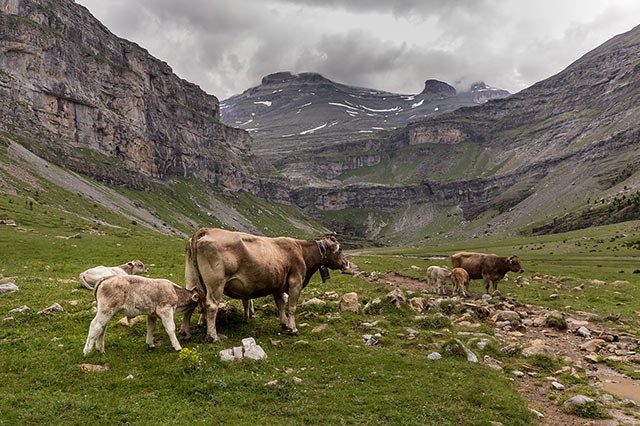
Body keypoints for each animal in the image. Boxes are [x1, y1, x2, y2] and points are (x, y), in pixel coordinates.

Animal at [179, 228, 349, 342]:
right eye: (340, 249)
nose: (347, 263)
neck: (301, 252)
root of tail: (205, 231)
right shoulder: (295, 282)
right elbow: (292, 307)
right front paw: (293, 329)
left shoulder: (278, 285)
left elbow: (281, 305)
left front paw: (284, 323)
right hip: (216, 283)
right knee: (212, 306)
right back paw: (213, 336)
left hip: (191, 279)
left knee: (191, 302)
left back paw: (185, 332)